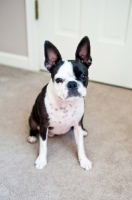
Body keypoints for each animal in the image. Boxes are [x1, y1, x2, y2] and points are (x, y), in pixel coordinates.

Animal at [27, 36, 92, 170]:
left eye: (83, 76)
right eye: (58, 80)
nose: (72, 84)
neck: (66, 103)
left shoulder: (78, 123)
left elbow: (81, 146)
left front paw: (83, 160)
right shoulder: (44, 125)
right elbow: (43, 146)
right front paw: (41, 160)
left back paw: (83, 132)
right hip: (32, 119)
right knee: (33, 128)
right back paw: (32, 137)